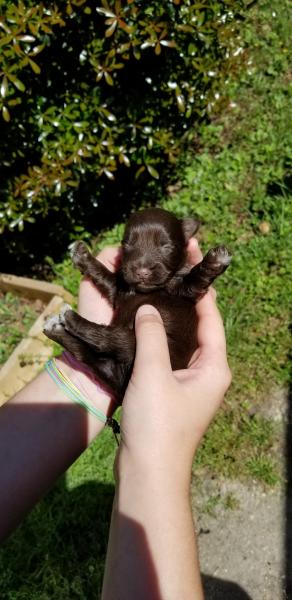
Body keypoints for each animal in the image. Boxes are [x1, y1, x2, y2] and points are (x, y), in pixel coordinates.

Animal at [44, 209, 230, 400]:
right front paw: (83, 255)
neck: (145, 291)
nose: (142, 271)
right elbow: (104, 275)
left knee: (110, 342)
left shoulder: (185, 291)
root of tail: (121, 385)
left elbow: (194, 279)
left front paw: (214, 260)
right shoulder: (118, 289)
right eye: (127, 244)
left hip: (149, 345)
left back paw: (69, 319)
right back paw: (57, 328)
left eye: (166, 246)